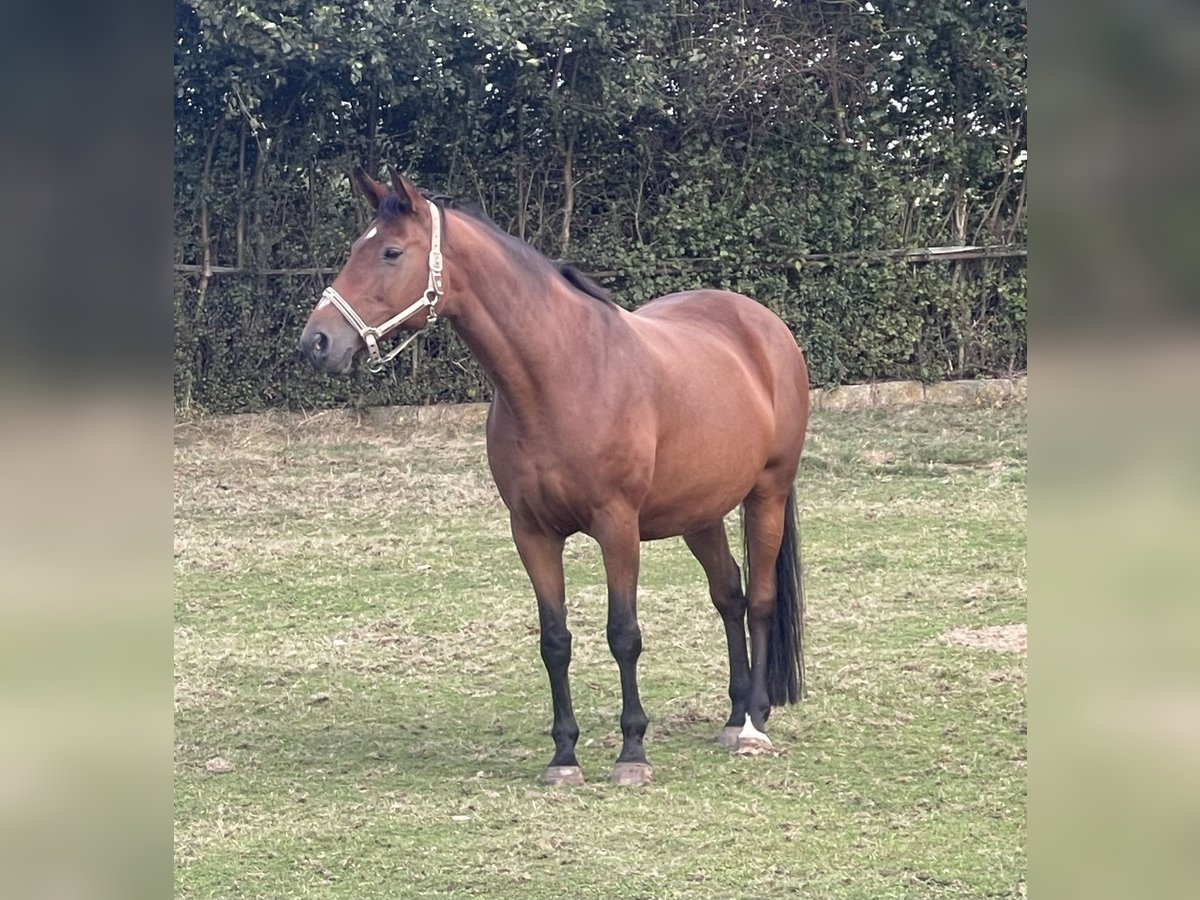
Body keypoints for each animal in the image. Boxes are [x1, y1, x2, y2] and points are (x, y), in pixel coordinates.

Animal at [300, 169, 811, 787]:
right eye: (357, 247)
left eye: (391, 252)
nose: (317, 342)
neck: (561, 374)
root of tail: (763, 326)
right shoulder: (532, 532)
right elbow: (555, 640)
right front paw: (564, 757)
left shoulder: (618, 528)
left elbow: (623, 635)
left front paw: (632, 752)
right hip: (700, 514)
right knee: (728, 595)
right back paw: (735, 716)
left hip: (767, 494)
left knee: (758, 600)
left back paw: (754, 724)